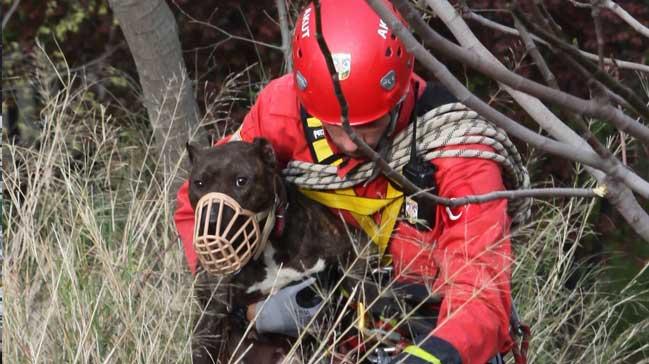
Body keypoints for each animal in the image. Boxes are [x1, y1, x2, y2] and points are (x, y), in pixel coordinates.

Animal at [185, 138, 356, 362]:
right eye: (199, 183)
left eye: (241, 180)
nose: (211, 220)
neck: (268, 245)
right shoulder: (212, 313)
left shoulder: (345, 254)